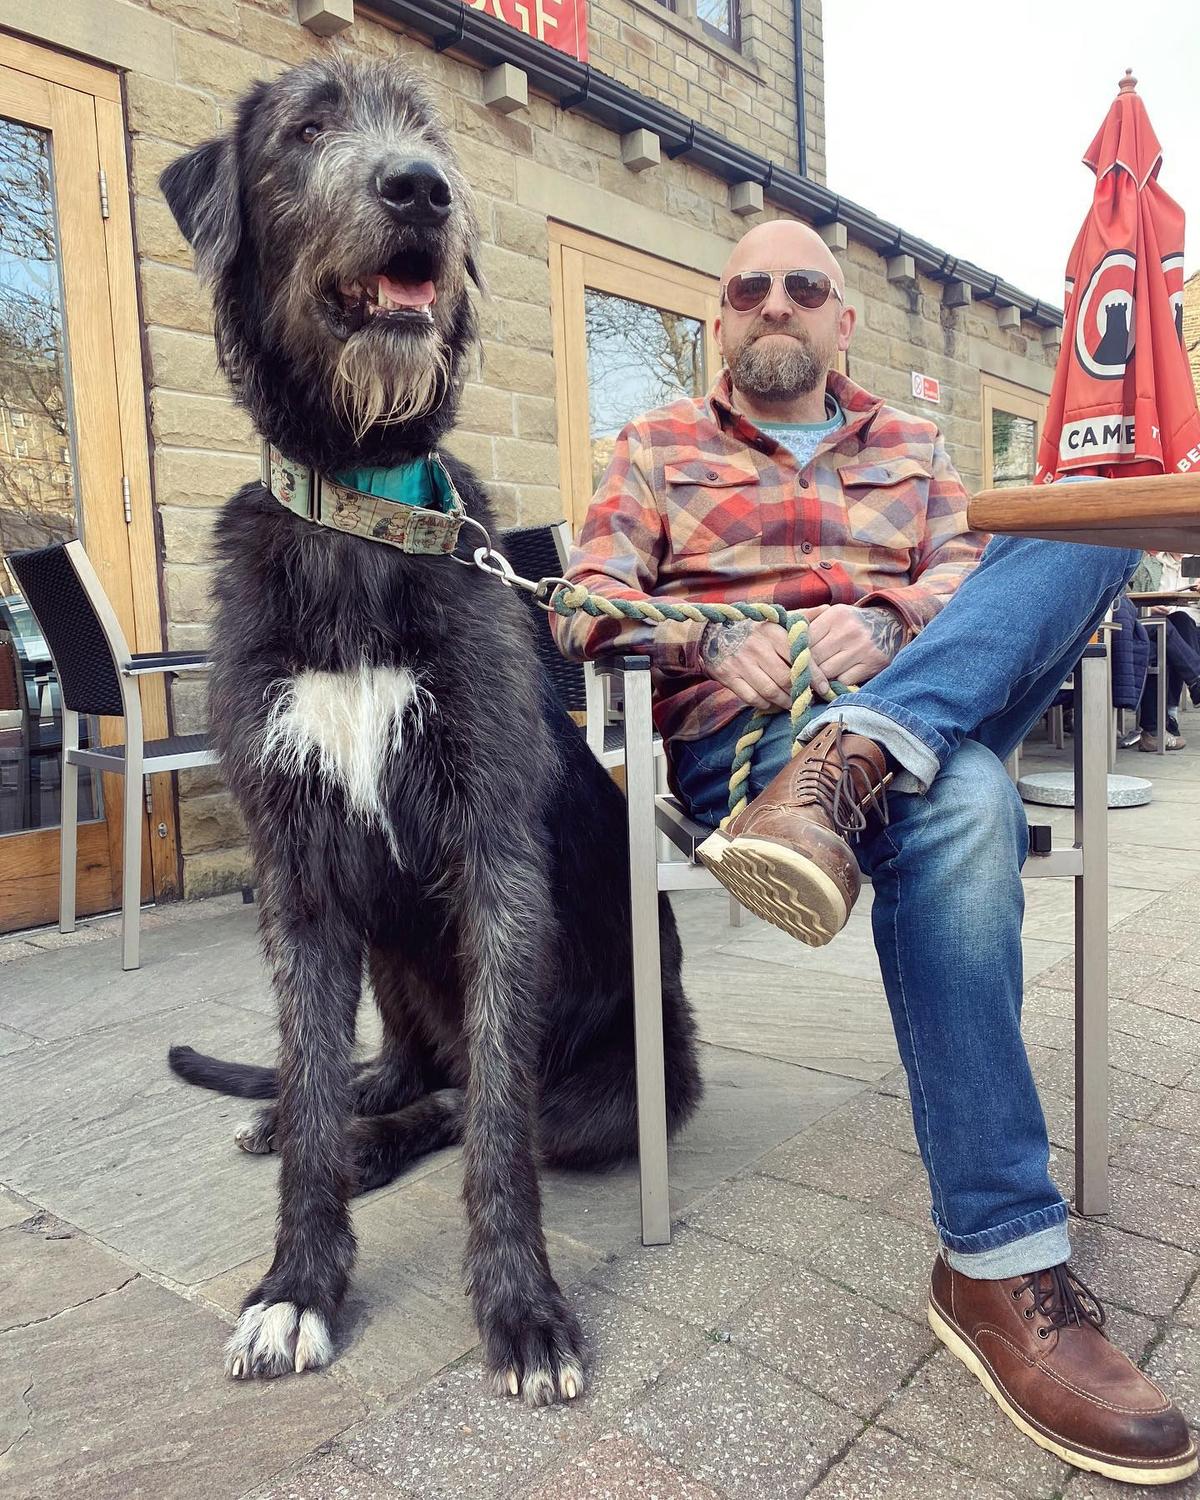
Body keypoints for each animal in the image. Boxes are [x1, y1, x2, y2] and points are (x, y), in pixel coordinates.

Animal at [159, 52, 702, 1398]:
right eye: (308, 131)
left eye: (432, 135)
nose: (423, 192)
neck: (359, 515)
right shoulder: (297, 869)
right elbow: (308, 1076)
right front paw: (296, 1286)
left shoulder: (494, 854)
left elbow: (499, 1125)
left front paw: (522, 1310)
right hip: (388, 958)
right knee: (381, 1076)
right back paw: (331, 1117)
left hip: (623, 1075)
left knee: (476, 1102)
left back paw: (386, 1137)